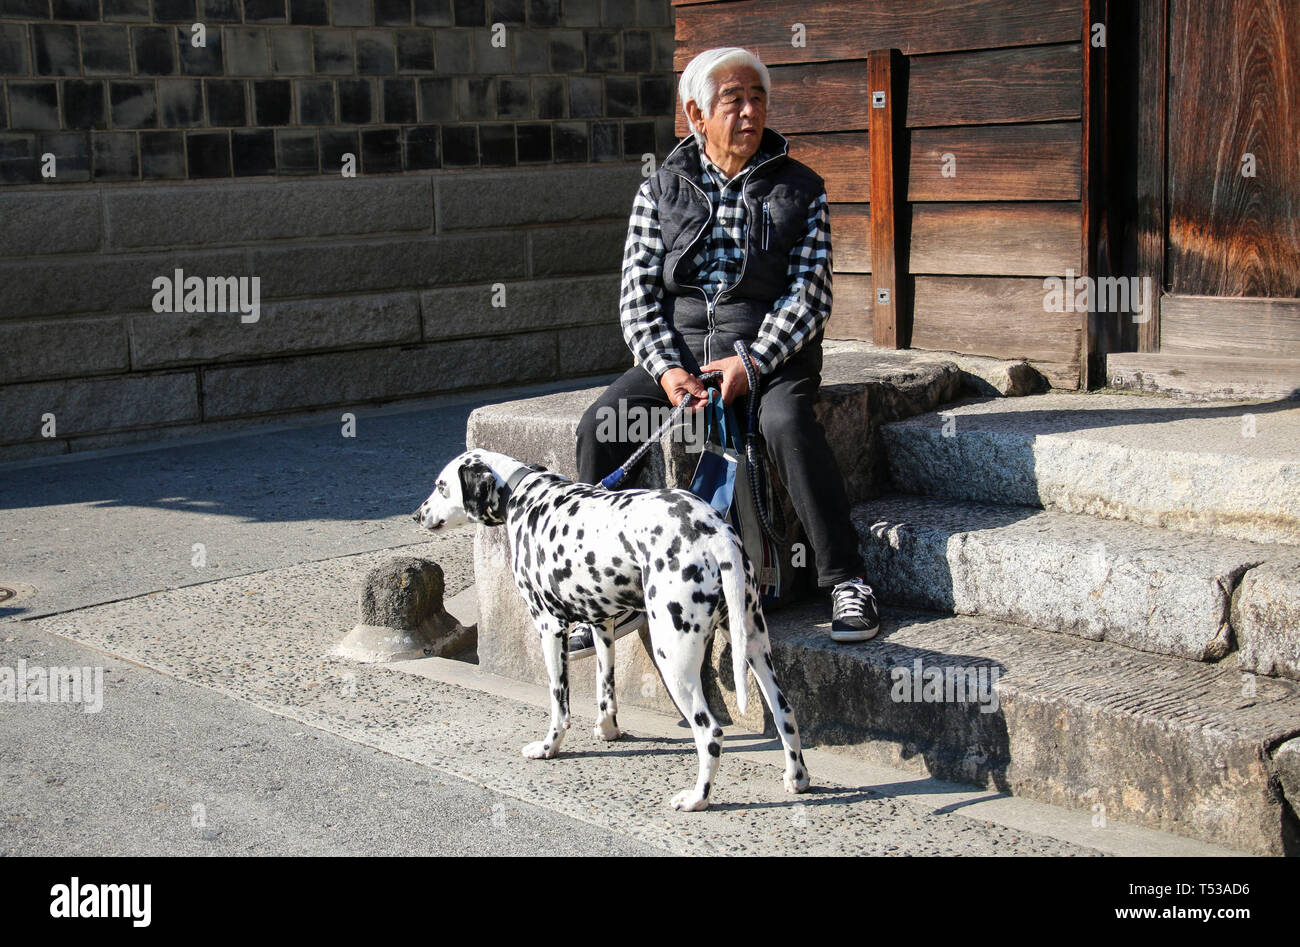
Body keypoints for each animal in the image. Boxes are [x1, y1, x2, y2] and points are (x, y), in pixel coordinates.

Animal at [410, 447, 806, 811]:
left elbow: (559, 705)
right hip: (753, 647)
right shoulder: (602, 626)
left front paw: (549, 747)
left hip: (674, 660)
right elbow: (606, 688)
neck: (524, 494)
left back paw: (698, 798)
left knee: (710, 734)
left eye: (441, 486)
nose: (416, 514)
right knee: (785, 713)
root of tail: (714, 532)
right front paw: (608, 729)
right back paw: (797, 778)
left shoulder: (550, 628)